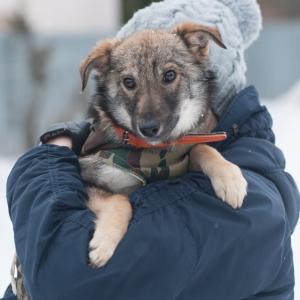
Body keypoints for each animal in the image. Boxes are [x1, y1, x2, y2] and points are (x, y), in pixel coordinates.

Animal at [78, 22, 247, 268]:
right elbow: (121, 200)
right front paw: (104, 243)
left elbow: (201, 147)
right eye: (129, 82)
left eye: (169, 75)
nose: (148, 128)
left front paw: (230, 179)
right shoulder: (90, 178)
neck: (155, 154)